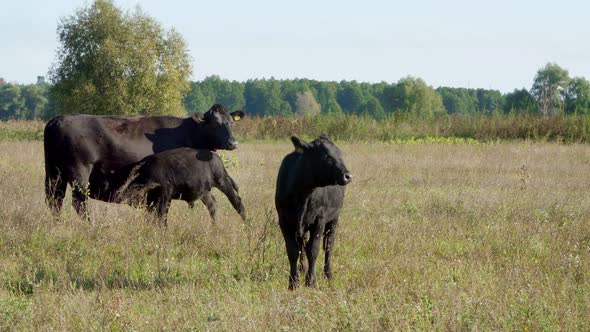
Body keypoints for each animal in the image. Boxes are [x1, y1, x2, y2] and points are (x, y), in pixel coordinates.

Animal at [42, 104, 244, 218]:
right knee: (79, 203)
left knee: (55, 200)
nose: (233, 143)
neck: (188, 132)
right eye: (215, 124)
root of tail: (57, 119)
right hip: (79, 172)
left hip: (54, 172)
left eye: (231, 123)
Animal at [89, 148, 246, 226]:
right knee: (212, 205)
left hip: (223, 181)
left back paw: (246, 223)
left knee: (237, 202)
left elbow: (161, 216)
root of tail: (217, 158)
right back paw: (214, 226)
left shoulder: (164, 197)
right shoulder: (151, 200)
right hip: (204, 192)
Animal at [276, 134, 354, 290]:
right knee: (302, 244)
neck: (302, 194)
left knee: (329, 246)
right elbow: (293, 250)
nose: (348, 176)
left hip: (333, 220)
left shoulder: (319, 220)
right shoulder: (284, 221)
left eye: (340, 154)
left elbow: (313, 250)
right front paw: (293, 282)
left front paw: (311, 281)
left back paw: (328, 274)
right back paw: (302, 269)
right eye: (327, 156)